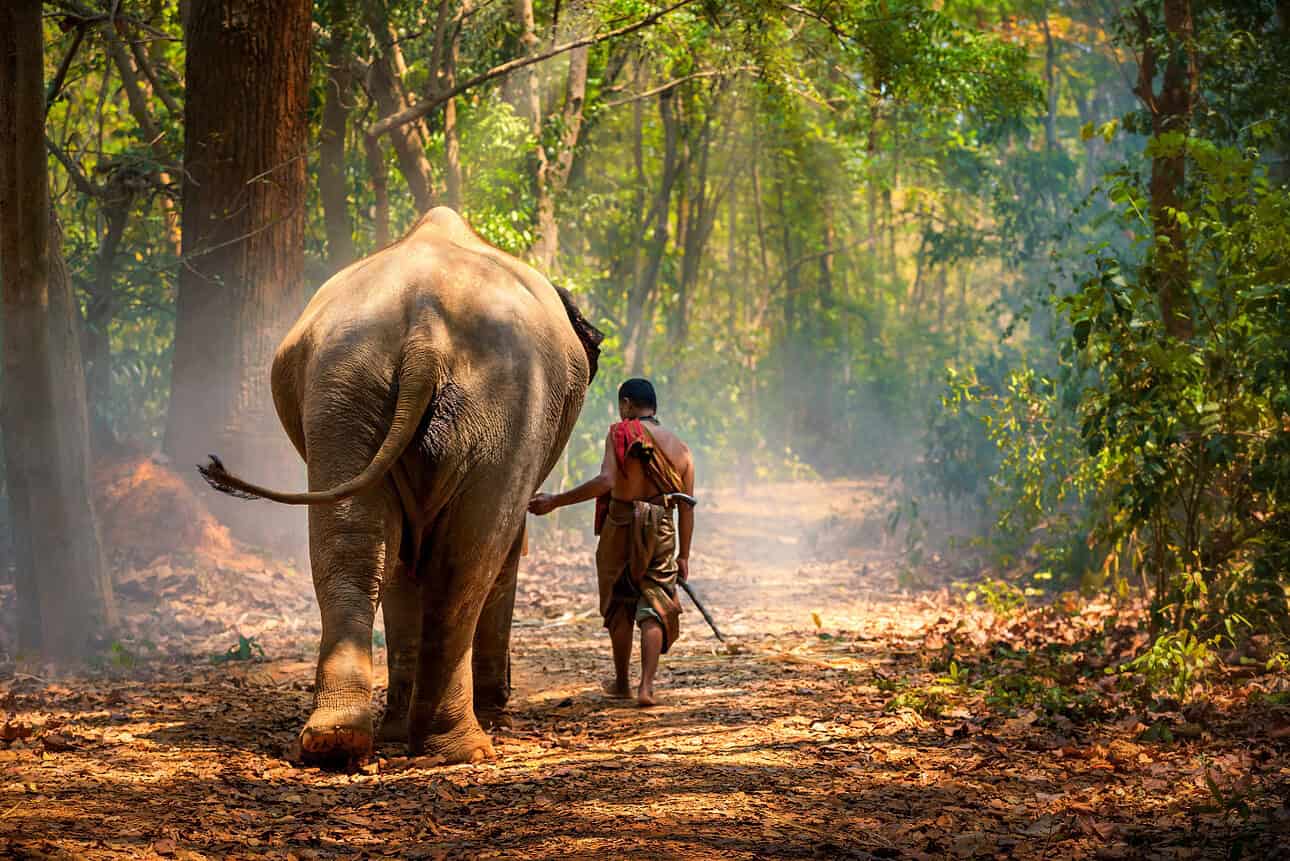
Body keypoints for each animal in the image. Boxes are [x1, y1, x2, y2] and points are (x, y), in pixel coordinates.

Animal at [198, 207, 602, 764]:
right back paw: (462, 746)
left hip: (346, 389)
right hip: (507, 405)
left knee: (357, 547)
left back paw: (338, 739)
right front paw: (493, 716)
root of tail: (424, 333)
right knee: (471, 556)